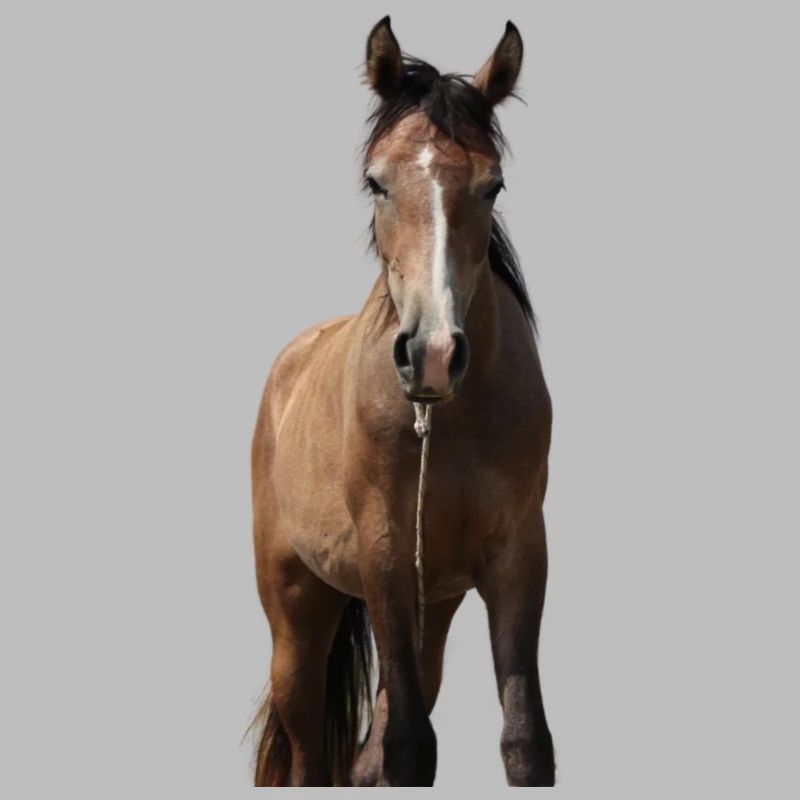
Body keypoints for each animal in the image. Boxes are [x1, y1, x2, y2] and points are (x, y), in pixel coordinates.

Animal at [250, 16, 555, 786]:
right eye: (375, 181)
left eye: (493, 185)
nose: (434, 353)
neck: (449, 423)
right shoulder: (383, 556)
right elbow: (411, 747)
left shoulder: (518, 556)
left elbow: (524, 741)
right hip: (297, 614)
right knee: (309, 755)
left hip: (433, 608)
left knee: (363, 756)